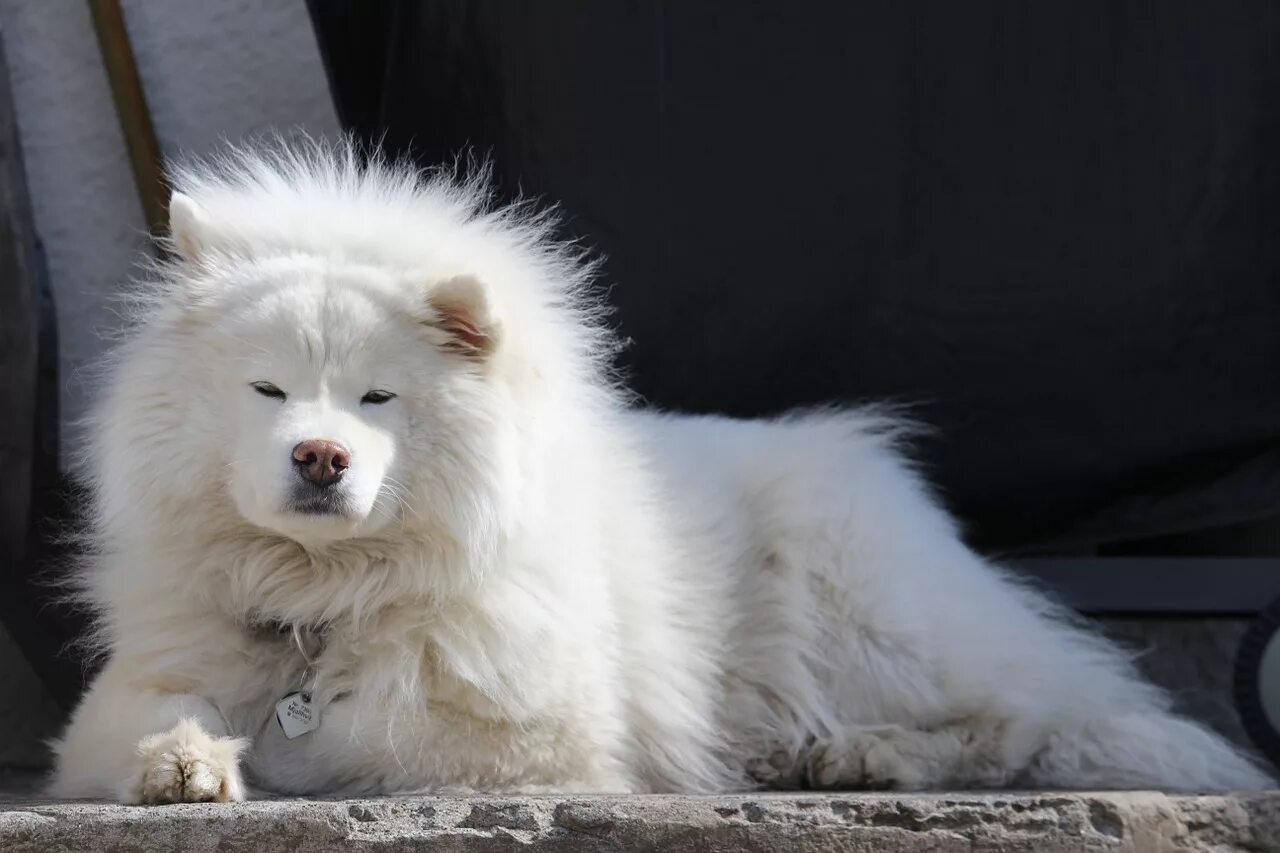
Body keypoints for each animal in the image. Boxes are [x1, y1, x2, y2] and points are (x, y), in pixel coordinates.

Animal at [49, 140, 1269, 804]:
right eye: (267, 390)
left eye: (375, 399)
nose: (319, 454)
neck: (327, 595)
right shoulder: (136, 685)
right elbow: (160, 716)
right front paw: (186, 760)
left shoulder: (535, 740)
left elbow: (367, 739)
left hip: (859, 612)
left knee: (1023, 718)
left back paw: (863, 755)